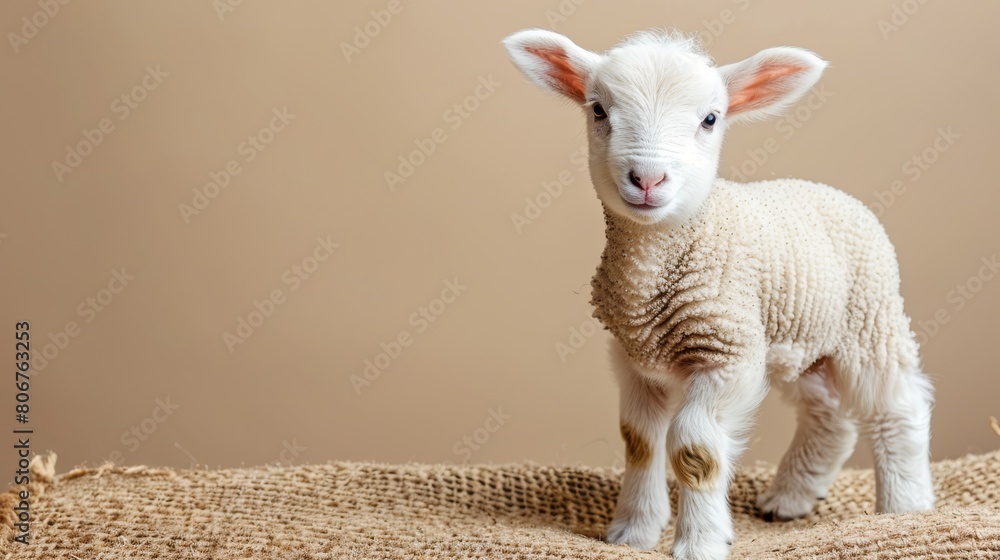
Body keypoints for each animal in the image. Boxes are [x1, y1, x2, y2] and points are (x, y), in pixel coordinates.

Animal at [503, 28, 934, 559]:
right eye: (598, 110)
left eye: (710, 119)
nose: (648, 179)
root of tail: (831, 192)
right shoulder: (634, 359)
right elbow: (639, 440)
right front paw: (634, 531)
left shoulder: (726, 354)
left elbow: (695, 449)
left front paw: (700, 542)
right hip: (798, 343)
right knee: (829, 413)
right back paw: (790, 499)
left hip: (870, 320)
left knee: (897, 406)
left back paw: (905, 508)